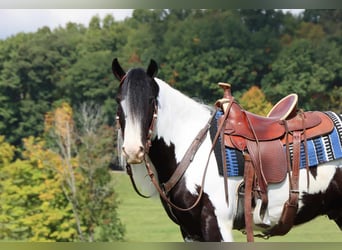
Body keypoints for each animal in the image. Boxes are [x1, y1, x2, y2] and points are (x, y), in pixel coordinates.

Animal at [112, 57, 342, 241]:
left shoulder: (216, 225)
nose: (132, 151)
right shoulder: (190, 231)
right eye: (118, 101)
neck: (193, 150)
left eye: (151, 100)